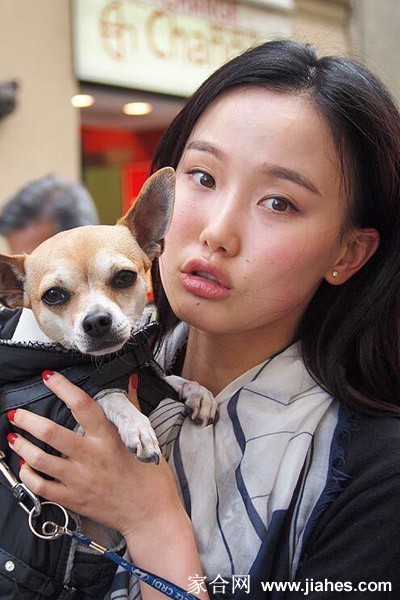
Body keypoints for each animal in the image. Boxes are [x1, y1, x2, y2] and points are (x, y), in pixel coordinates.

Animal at [0, 167, 218, 465]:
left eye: (124, 277)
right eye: (53, 295)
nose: (96, 321)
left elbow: (169, 379)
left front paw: (196, 391)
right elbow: (105, 396)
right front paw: (135, 423)